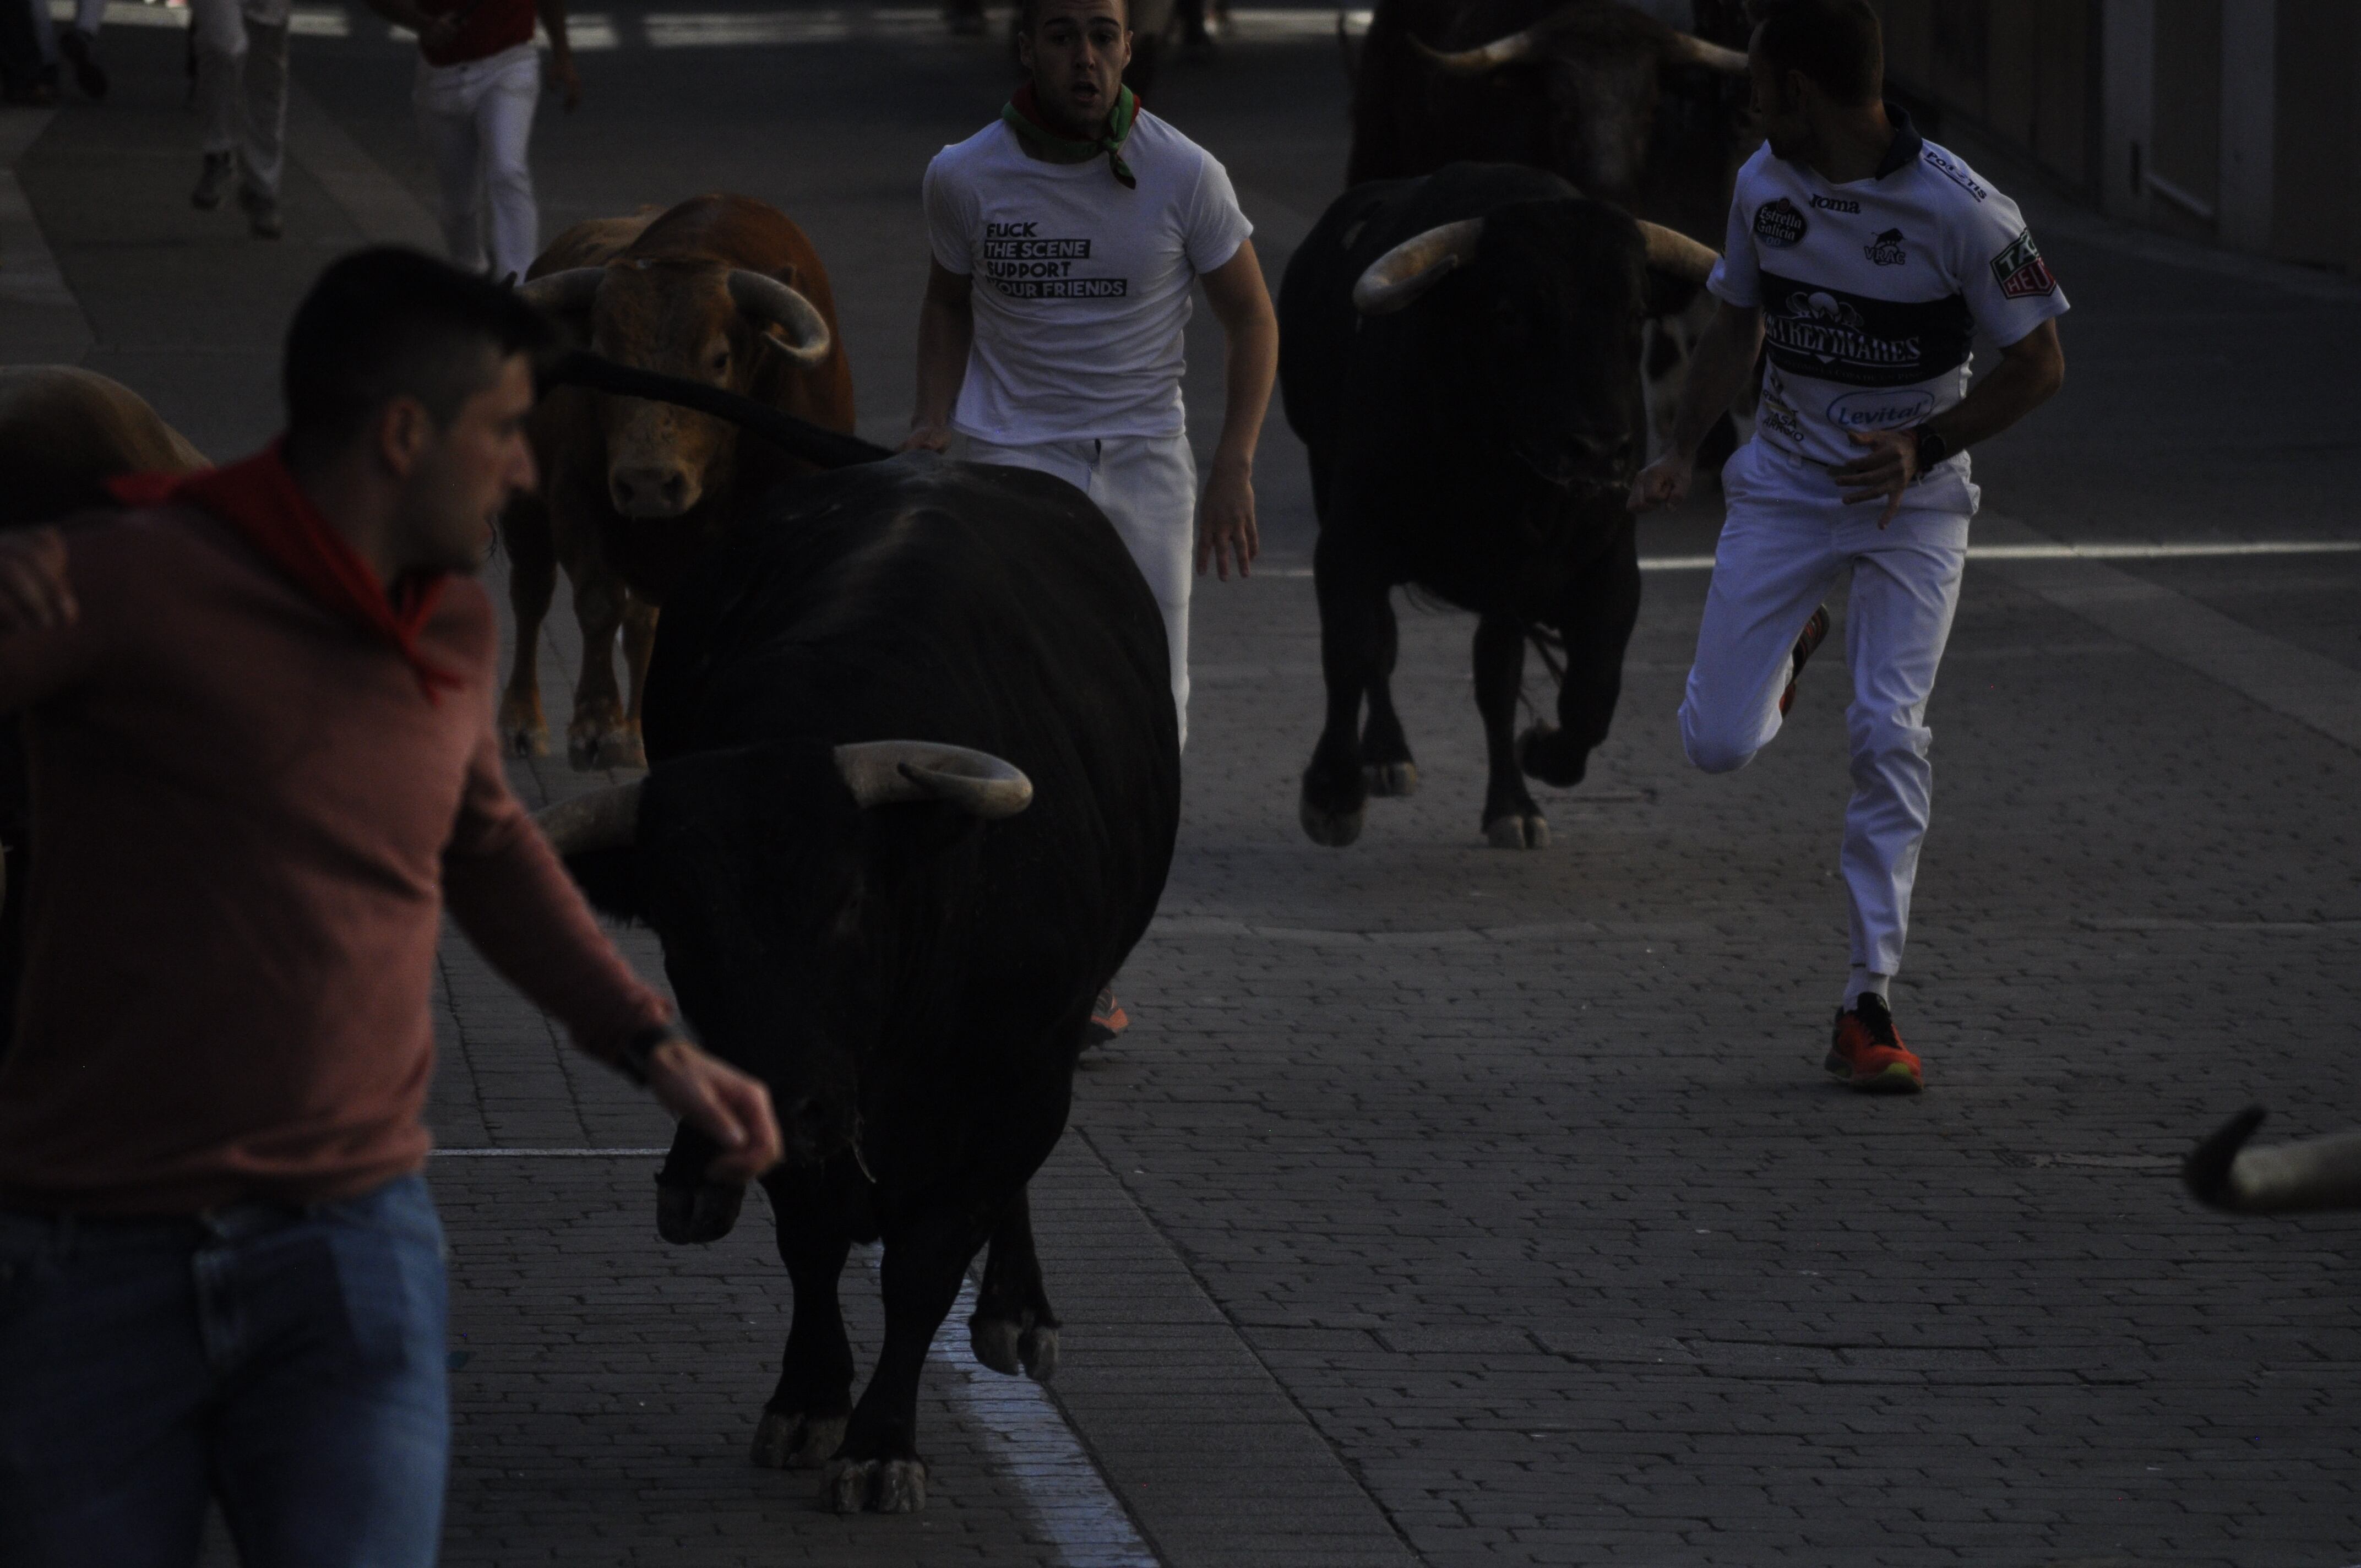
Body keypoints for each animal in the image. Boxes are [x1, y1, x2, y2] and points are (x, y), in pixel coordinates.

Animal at [507, 192, 859, 770]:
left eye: (720, 358)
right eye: (601, 356)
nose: (649, 482)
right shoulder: (574, 497)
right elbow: (598, 603)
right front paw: (594, 726)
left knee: (643, 627)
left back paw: (636, 736)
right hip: (524, 508)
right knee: (531, 595)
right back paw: (523, 722)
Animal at [534, 352, 1180, 1511]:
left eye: (846, 900)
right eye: (681, 930)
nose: (790, 1102)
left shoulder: (1014, 1084)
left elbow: (927, 1262)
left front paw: (882, 1440)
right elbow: (810, 1239)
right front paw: (808, 1396)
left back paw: (1017, 1311)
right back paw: (694, 1181)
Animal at [1275, 165, 1718, 850]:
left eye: (1635, 313)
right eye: (1509, 314)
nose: (1597, 448)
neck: (1502, 476)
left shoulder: (1606, 564)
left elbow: (1590, 688)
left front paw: (1542, 757)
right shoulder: (1351, 540)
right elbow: (1354, 648)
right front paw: (1332, 793)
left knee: (1495, 678)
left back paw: (1511, 805)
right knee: (1387, 645)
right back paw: (1386, 754)